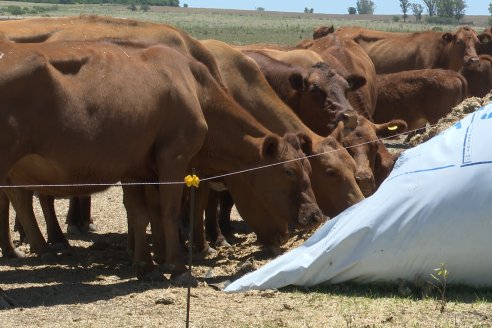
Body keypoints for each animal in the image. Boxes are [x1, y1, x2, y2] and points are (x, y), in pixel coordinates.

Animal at [0, 39, 322, 280]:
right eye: (288, 171)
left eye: (309, 167)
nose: (315, 216)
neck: (194, 89)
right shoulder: (173, 158)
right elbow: (169, 210)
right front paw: (177, 266)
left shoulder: (137, 167)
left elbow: (143, 213)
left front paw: (148, 262)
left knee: (19, 199)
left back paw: (33, 248)